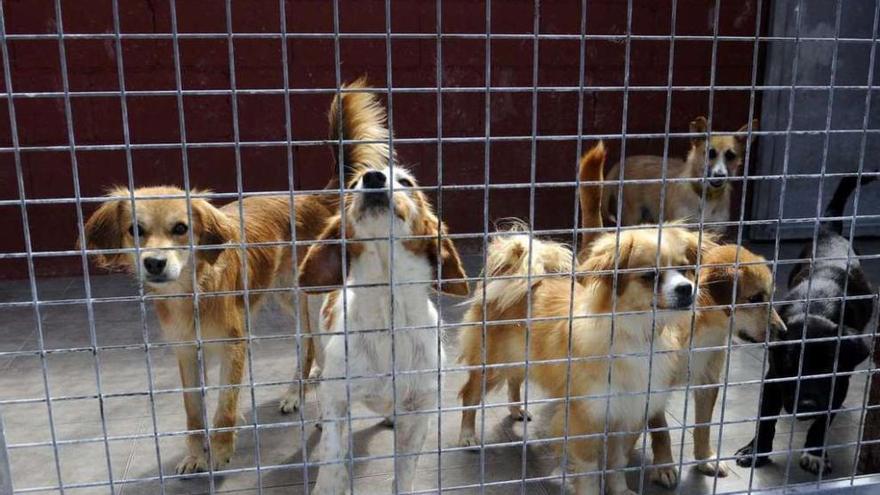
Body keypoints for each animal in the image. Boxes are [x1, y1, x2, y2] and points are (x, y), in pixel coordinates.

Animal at [736, 174, 872, 476]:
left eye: (828, 365)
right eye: (790, 364)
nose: (807, 406)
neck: (816, 305)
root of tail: (830, 232)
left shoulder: (838, 381)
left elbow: (822, 422)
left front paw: (815, 453)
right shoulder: (774, 378)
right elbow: (766, 419)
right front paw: (755, 451)